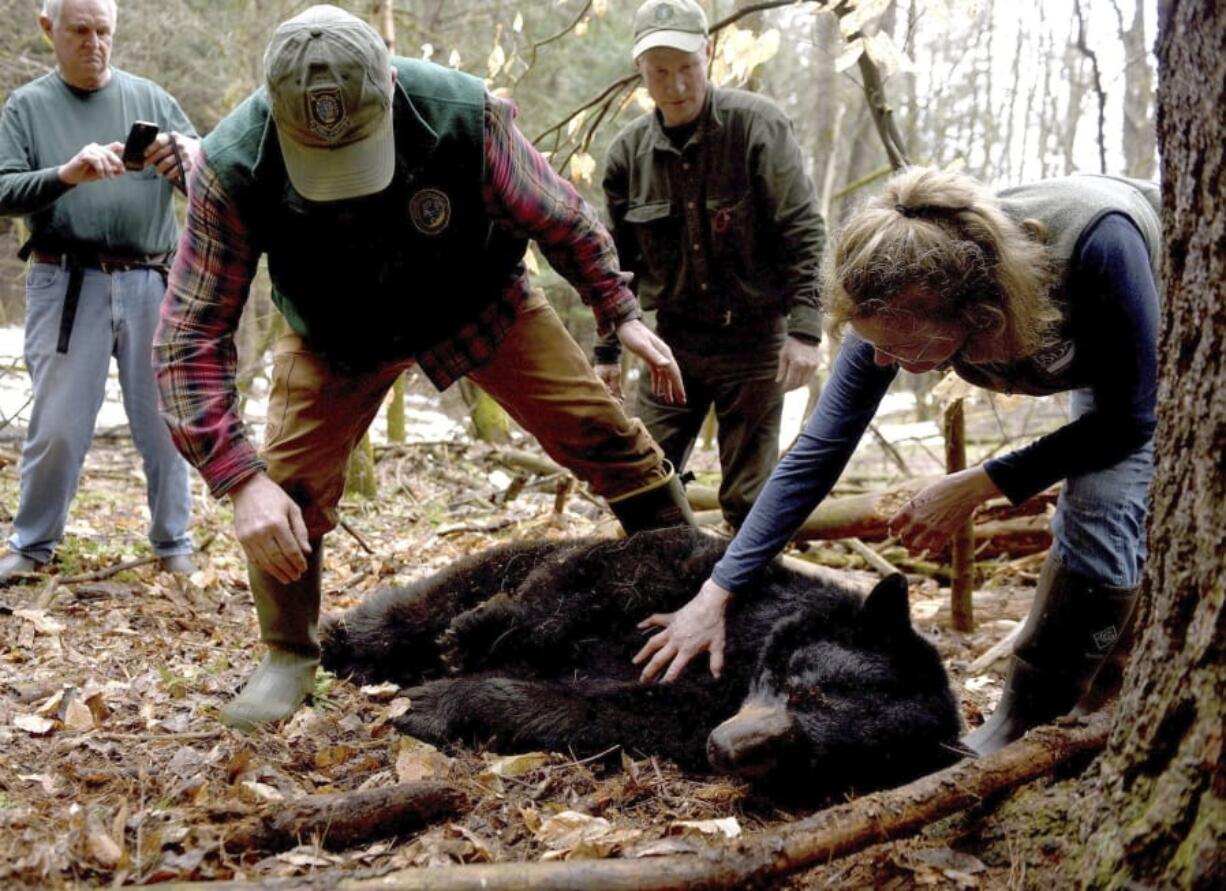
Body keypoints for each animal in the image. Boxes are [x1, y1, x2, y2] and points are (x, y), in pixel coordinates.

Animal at [318, 529, 966, 803]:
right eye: (799, 685)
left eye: (823, 757)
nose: (724, 748)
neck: (740, 662)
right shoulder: (686, 581)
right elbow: (589, 582)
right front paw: (473, 640)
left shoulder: (682, 713)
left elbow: (598, 712)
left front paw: (443, 701)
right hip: (505, 559)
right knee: (432, 600)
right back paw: (345, 641)